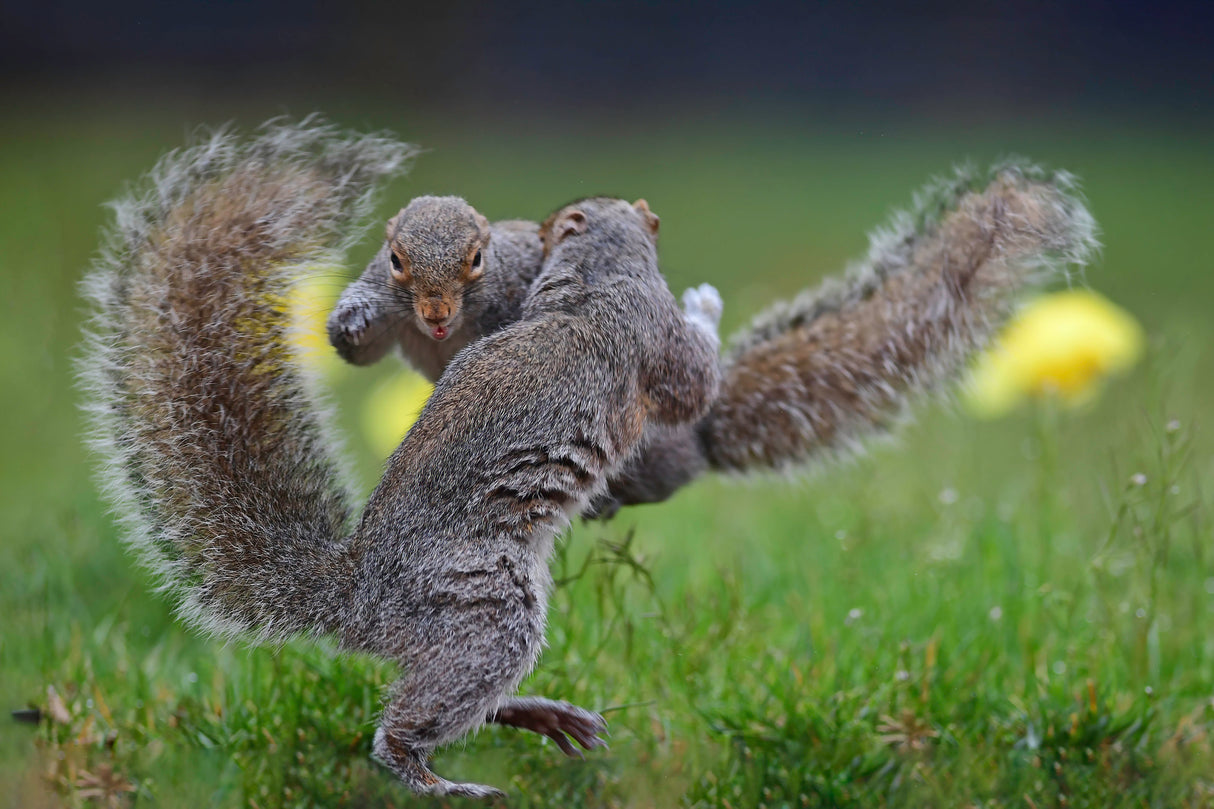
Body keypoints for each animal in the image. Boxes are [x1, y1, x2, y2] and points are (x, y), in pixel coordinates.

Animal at [78, 121, 722, 797]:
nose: (542, 231)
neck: (595, 274)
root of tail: (357, 602)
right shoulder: (655, 336)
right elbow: (697, 382)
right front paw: (706, 305)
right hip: (487, 608)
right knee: (408, 724)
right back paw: (437, 780)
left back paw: (537, 715)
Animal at [330, 161, 1098, 514]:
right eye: (394, 257)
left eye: (477, 259)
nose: (435, 313)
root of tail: (699, 438)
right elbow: (364, 341)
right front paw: (350, 323)